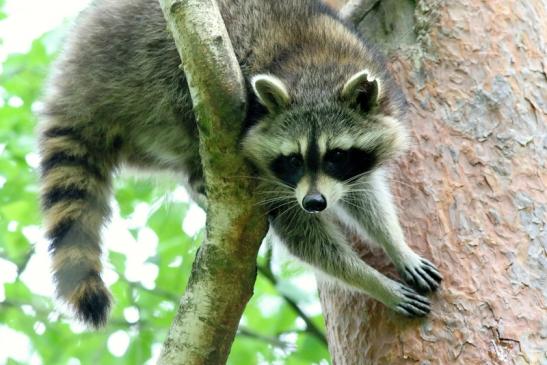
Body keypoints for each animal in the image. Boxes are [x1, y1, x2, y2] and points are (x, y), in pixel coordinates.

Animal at [37, 0, 440, 326]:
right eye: (292, 160)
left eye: (337, 155)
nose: (314, 203)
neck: (314, 67)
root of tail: (72, 81)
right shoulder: (266, 169)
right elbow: (299, 232)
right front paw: (375, 282)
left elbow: (364, 193)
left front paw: (395, 244)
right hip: (138, 73)